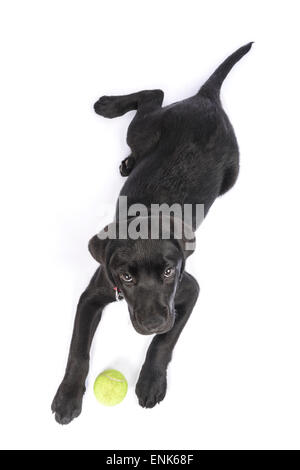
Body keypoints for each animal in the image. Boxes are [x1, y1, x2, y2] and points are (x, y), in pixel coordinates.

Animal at [52, 44, 253, 424]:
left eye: (169, 271)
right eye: (126, 277)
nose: (153, 322)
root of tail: (205, 98)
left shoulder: (189, 291)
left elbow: (164, 343)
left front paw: (150, 382)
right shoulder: (92, 294)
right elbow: (78, 350)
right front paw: (68, 396)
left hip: (230, 175)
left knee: (155, 94)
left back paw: (110, 112)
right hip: (145, 132)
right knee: (153, 96)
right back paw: (112, 116)